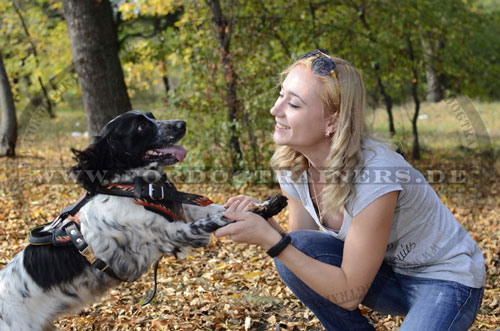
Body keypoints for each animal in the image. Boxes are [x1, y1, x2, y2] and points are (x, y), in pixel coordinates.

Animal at [0, 111, 288, 331]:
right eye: (140, 126)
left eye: (152, 116)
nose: (181, 124)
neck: (133, 186)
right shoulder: (174, 233)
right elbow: (220, 217)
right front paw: (252, 216)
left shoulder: (181, 209)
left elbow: (219, 206)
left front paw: (265, 205)